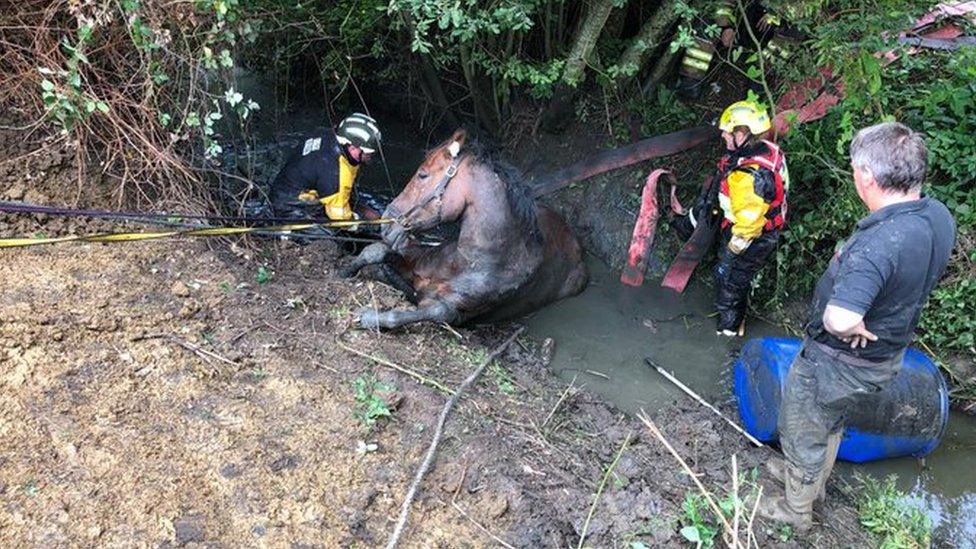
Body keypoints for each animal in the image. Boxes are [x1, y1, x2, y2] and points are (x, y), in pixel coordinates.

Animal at [344, 130, 588, 328]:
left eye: (423, 174)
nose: (388, 221)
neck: (473, 261)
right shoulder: (415, 262)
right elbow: (376, 252)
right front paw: (346, 269)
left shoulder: (455, 311)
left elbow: (435, 312)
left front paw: (369, 317)